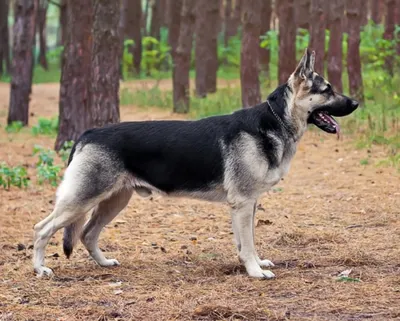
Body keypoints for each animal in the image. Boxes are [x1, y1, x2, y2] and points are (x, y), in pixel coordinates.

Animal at [32, 49, 360, 278]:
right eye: (327, 90)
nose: (357, 103)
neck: (276, 120)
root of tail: (88, 132)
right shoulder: (243, 204)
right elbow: (248, 244)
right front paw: (256, 272)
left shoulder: (247, 205)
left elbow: (246, 243)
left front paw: (251, 265)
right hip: (81, 200)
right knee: (42, 229)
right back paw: (40, 269)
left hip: (113, 202)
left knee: (87, 233)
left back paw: (103, 262)